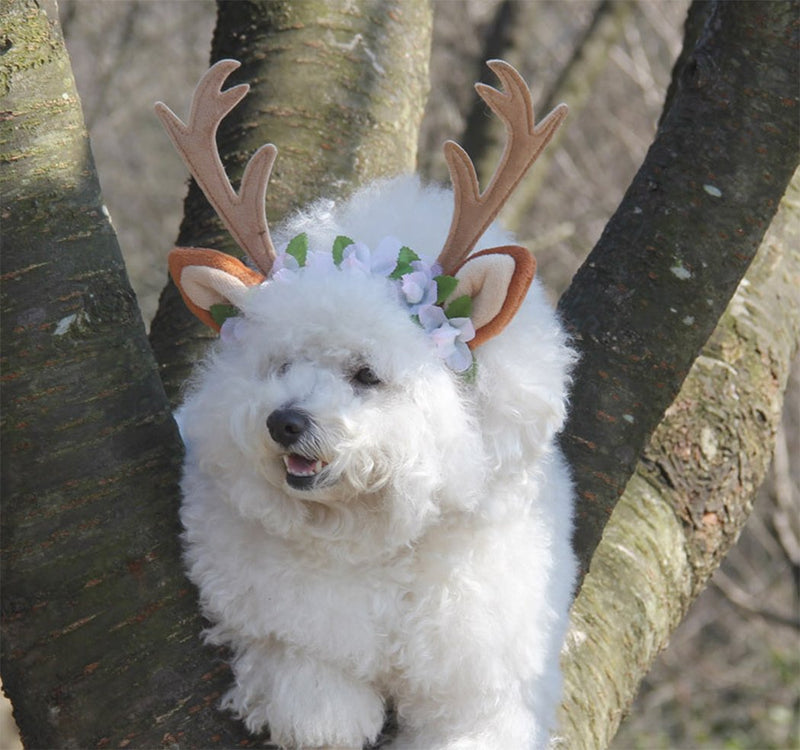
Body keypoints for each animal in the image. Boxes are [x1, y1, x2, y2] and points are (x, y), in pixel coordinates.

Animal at [159, 60, 580, 750]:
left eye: (366, 375)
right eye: (280, 366)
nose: (284, 422)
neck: (382, 540)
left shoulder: (483, 687)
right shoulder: (287, 634)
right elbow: (318, 706)